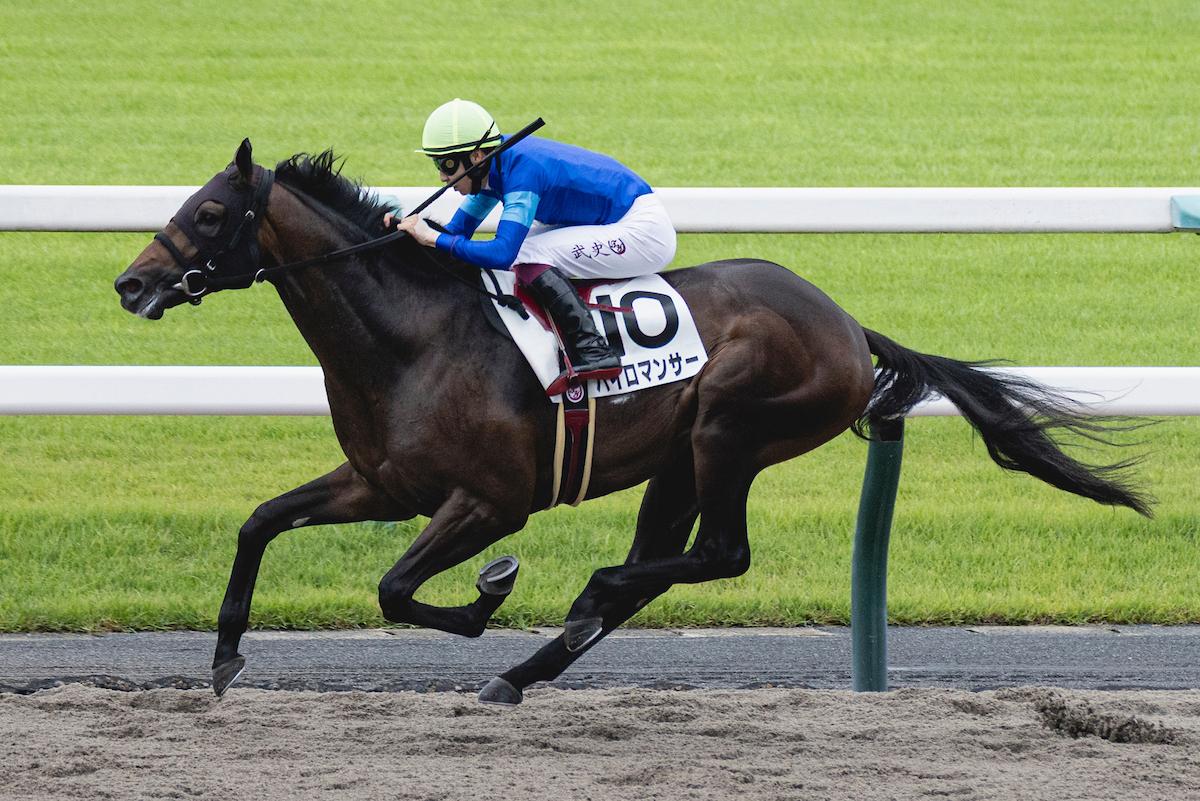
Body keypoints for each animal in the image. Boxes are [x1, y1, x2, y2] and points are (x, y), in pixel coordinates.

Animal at [114, 140, 1150, 705]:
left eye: (210, 214)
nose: (131, 283)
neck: (412, 335)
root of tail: (848, 324)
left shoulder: (490, 501)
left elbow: (397, 588)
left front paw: (490, 594)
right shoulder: (381, 483)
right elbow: (260, 523)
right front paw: (224, 658)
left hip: (731, 426)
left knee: (718, 553)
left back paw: (583, 598)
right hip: (678, 456)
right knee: (668, 559)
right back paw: (536, 659)